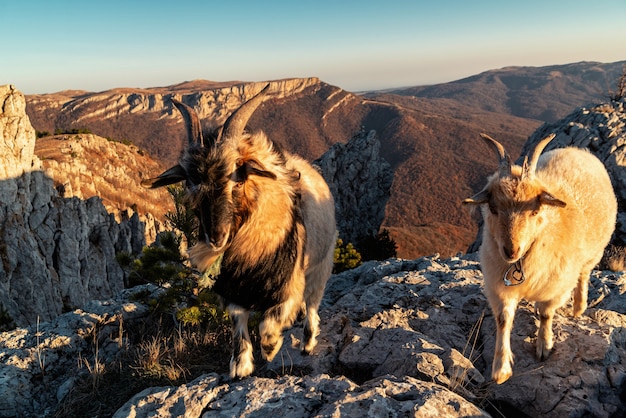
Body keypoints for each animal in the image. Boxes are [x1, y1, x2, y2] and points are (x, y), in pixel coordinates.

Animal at [142, 85, 336, 378]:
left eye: (237, 179)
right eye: (190, 184)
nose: (216, 237)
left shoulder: (287, 284)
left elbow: (271, 320)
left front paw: (270, 347)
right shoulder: (232, 288)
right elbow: (238, 323)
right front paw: (240, 366)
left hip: (320, 265)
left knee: (313, 302)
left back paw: (308, 342)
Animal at [464, 132, 616, 384]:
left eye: (534, 210)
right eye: (493, 209)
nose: (510, 250)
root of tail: (577, 150)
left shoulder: (557, 287)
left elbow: (546, 315)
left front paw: (544, 346)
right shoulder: (499, 288)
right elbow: (503, 320)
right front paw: (501, 369)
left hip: (593, 253)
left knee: (584, 276)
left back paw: (579, 306)